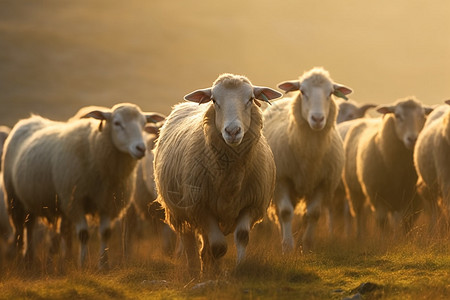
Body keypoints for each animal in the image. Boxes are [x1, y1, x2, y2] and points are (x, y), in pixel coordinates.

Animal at [2, 103, 165, 270]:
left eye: (143, 124)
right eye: (117, 123)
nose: (141, 148)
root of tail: (28, 120)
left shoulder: (108, 203)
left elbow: (105, 233)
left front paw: (103, 265)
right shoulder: (75, 201)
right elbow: (83, 234)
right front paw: (82, 264)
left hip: (39, 202)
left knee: (34, 227)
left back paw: (38, 259)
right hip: (14, 199)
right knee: (20, 230)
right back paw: (22, 260)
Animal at [155, 73, 282, 274]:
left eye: (250, 99)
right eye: (214, 100)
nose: (232, 131)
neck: (232, 176)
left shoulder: (251, 205)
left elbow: (241, 237)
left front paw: (238, 268)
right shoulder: (201, 208)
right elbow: (218, 247)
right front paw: (214, 273)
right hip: (179, 209)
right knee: (188, 240)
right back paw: (193, 269)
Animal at [262, 67, 354, 252]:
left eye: (331, 93)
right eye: (303, 91)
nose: (317, 119)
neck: (310, 154)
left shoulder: (323, 182)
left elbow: (313, 213)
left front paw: (307, 244)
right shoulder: (282, 180)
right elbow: (285, 212)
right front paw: (288, 246)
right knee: (280, 214)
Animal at [344, 97, 432, 238]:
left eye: (422, 116)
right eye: (397, 115)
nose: (413, 139)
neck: (398, 167)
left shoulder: (415, 199)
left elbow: (408, 222)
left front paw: (404, 239)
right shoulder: (377, 196)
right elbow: (382, 222)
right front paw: (385, 239)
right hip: (354, 190)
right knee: (358, 214)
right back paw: (360, 236)